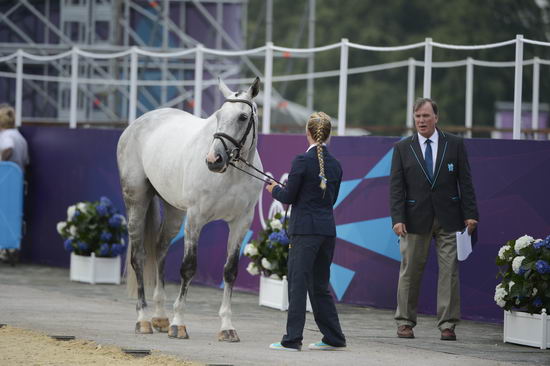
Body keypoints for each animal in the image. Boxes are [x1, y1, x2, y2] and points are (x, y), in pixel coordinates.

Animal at [116, 78, 264, 344]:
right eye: (219, 115)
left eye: (243, 116)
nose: (214, 159)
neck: (231, 175)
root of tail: (138, 123)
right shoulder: (196, 219)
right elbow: (188, 268)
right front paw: (178, 324)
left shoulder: (241, 222)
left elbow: (230, 271)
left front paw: (227, 327)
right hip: (137, 200)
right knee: (139, 257)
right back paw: (143, 320)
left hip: (174, 211)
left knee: (160, 249)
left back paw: (160, 317)